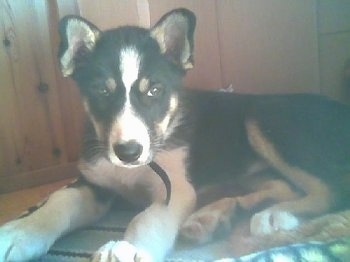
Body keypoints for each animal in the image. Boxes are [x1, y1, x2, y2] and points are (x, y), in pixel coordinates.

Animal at [0, 7, 350, 260]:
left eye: (154, 90)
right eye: (102, 91)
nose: (128, 152)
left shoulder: (175, 187)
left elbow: (147, 219)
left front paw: (130, 249)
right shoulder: (93, 181)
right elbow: (58, 200)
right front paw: (20, 232)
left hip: (263, 117)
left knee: (331, 190)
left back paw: (277, 217)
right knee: (283, 186)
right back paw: (211, 219)